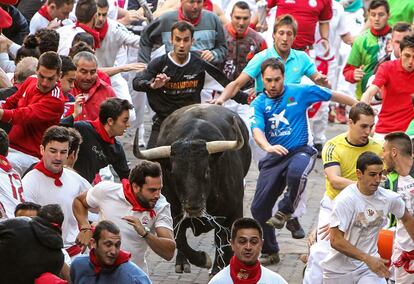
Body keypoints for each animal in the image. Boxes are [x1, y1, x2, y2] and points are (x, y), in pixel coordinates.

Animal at [134, 104, 251, 276]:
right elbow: (179, 240)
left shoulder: (233, 212)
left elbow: (225, 242)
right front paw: (203, 259)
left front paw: (218, 269)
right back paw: (182, 264)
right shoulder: (173, 213)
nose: (193, 206)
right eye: (173, 173)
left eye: (207, 171)